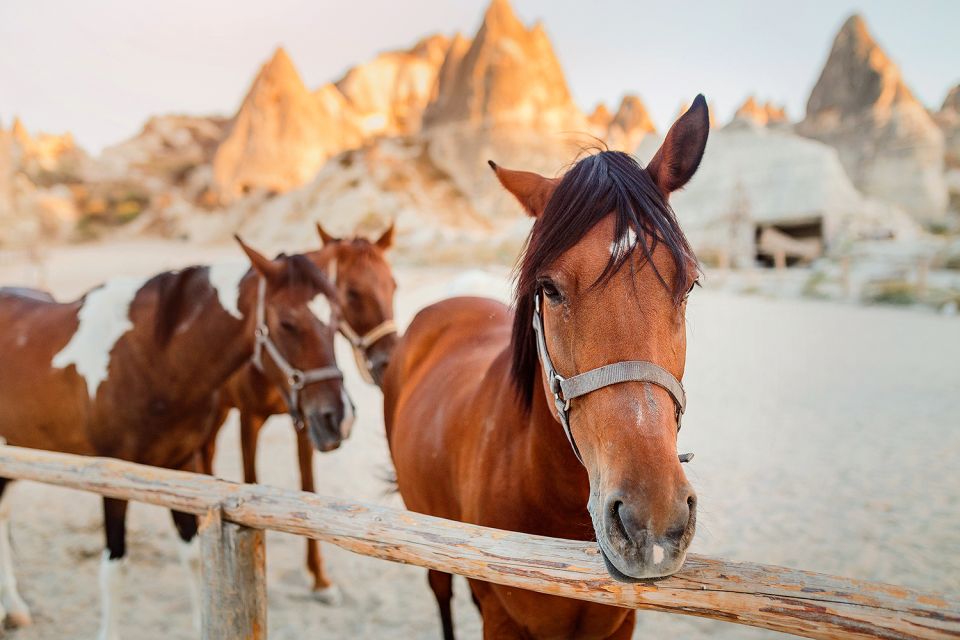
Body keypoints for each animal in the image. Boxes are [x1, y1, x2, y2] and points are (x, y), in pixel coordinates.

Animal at [0, 238, 348, 636]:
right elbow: (114, 569)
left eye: (337, 322)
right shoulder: (113, 476)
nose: (336, 419)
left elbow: (194, 557)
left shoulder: (182, 466)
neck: (153, 357)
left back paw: (14, 607)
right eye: (288, 323)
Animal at [199, 222, 398, 604]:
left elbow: (308, 487)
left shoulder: (310, 422)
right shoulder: (249, 418)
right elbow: (250, 479)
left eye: (393, 285)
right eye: (352, 293)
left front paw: (319, 577)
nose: (390, 360)